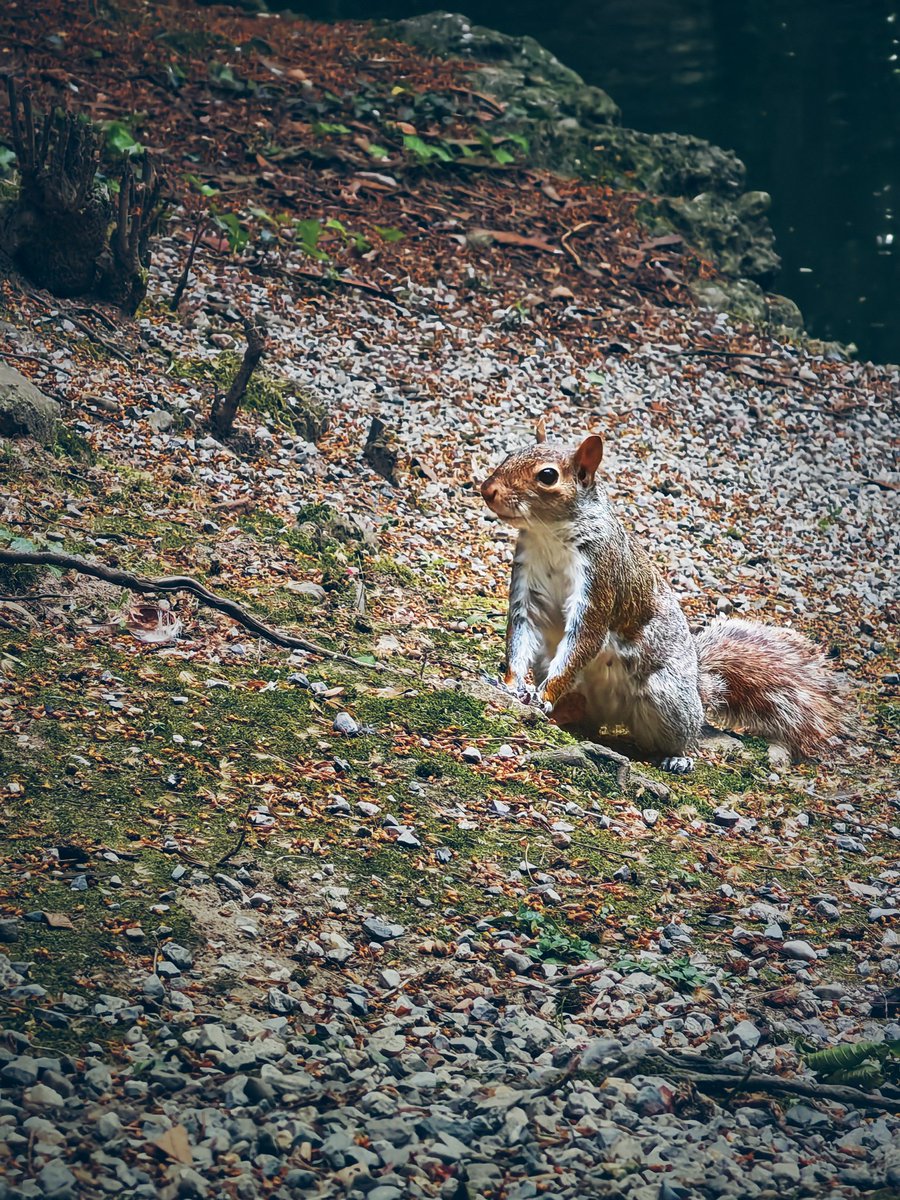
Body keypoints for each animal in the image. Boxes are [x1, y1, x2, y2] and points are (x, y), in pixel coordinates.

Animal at [480, 427, 845, 773]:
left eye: (547, 476)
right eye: (511, 454)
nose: (487, 490)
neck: (549, 536)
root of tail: (698, 688)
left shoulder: (601, 579)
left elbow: (585, 639)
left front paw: (543, 696)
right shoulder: (528, 587)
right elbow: (521, 634)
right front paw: (512, 685)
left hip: (667, 698)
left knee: (681, 737)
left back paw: (678, 758)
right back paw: (565, 714)